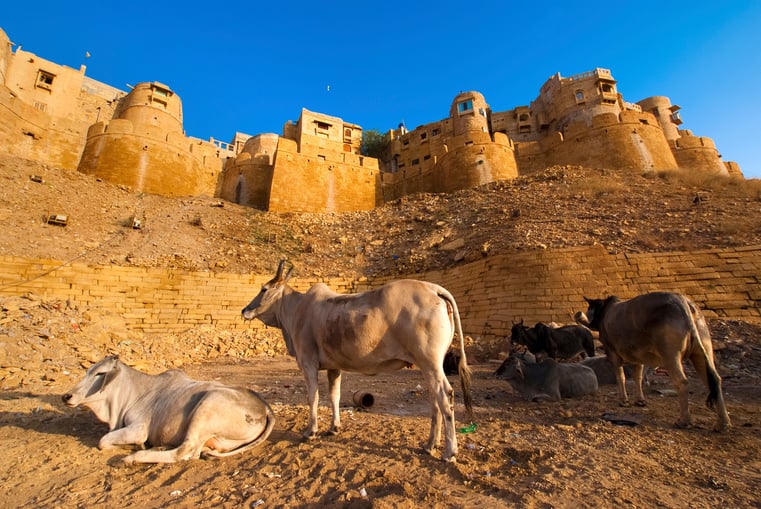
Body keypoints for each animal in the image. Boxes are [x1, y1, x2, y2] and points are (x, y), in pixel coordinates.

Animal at [62, 356, 274, 462]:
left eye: (100, 374)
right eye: (88, 371)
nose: (66, 396)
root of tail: (264, 407)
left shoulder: (139, 428)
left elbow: (103, 441)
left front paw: (135, 446)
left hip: (207, 406)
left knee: (184, 452)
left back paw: (134, 458)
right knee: (195, 452)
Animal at [243, 260, 472, 462]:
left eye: (264, 289)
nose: (244, 310)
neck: (298, 309)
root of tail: (434, 289)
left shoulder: (308, 363)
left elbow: (313, 397)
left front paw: (310, 431)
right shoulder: (334, 367)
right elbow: (334, 396)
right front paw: (334, 428)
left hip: (430, 363)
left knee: (445, 396)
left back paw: (449, 452)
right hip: (427, 366)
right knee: (435, 400)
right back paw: (429, 445)